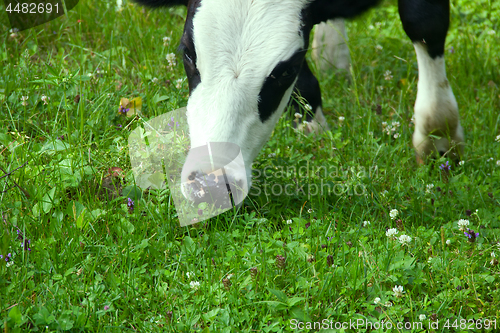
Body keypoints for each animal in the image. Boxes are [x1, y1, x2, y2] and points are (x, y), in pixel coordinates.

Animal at [134, 0, 464, 202]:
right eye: (188, 52)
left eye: (285, 71)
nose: (211, 183)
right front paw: (311, 124)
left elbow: (424, 21)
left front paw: (439, 136)